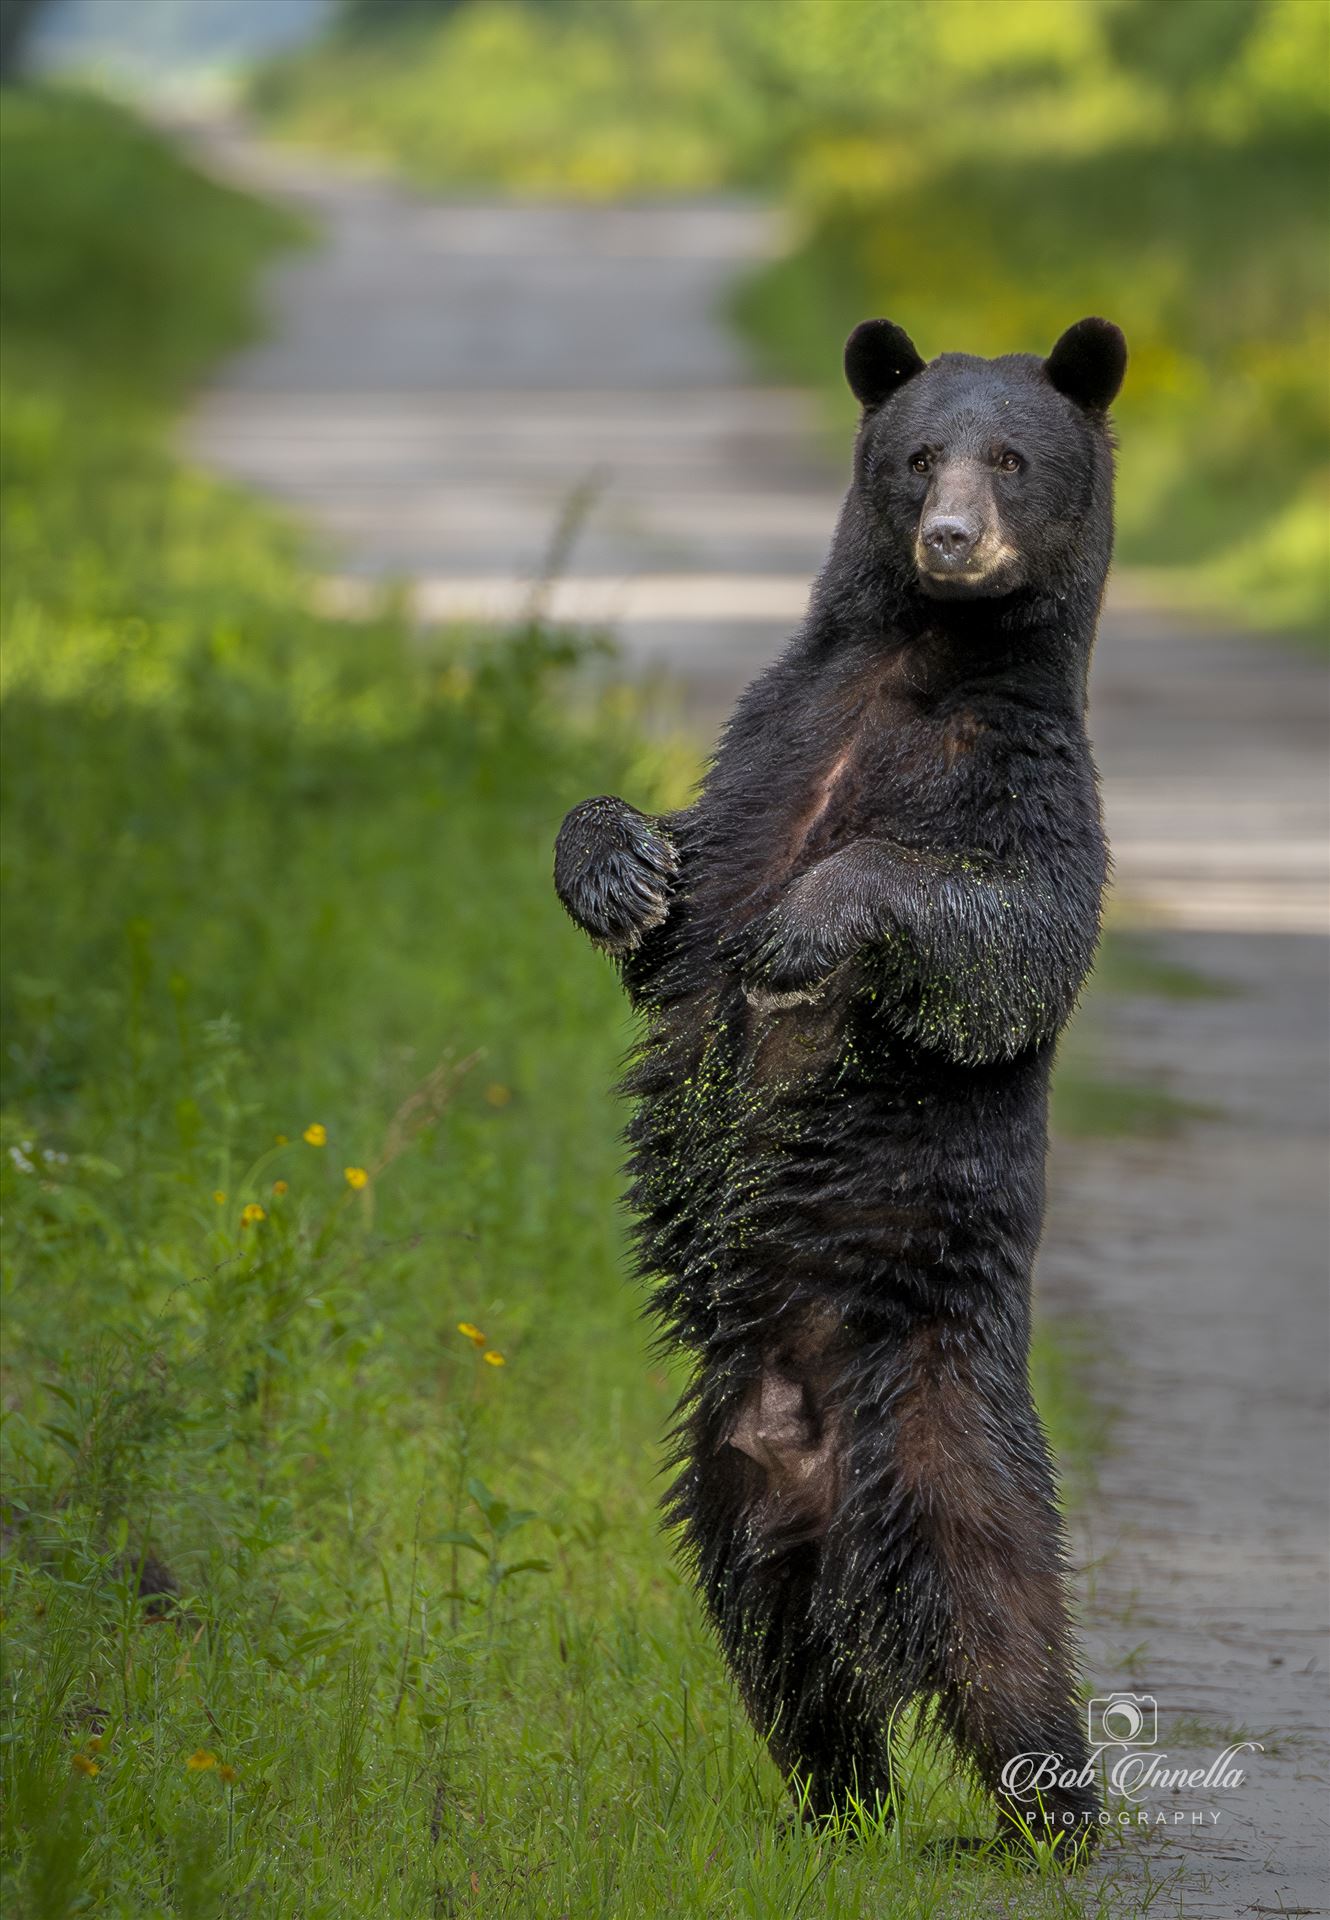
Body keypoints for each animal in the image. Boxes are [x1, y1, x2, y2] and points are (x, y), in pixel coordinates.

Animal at [548, 311, 1120, 1843]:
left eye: (1012, 457)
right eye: (919, 452)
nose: (950, 537)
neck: (921, 662)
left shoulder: (1017, 786)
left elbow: (999, 937)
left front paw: (806, 933)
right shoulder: (769, 751)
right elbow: (672, 896)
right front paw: (615, 871)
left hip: (948, 1429)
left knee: (1001, 1621)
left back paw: (1049, 1809)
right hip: (723, 1487)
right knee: (782, 1649)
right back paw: (838, 1805)